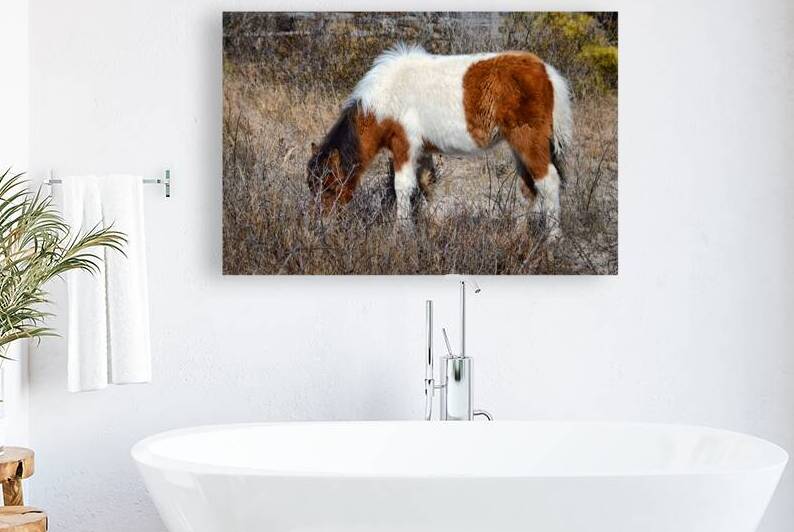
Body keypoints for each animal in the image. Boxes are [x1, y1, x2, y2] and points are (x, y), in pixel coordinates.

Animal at [307, 43, 573, 236]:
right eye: (314, 187)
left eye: (330, 187)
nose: (320, 227)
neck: (386, 98)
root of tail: (545, 71)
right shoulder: (423, 150)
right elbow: (427, 185)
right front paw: (433, 227)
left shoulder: (404, 145)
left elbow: (402, 187)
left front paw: (402, 232)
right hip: (520, 147)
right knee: (529, 186)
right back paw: (518, 235)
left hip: (529, 141)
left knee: (548, 181)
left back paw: (553, 238)